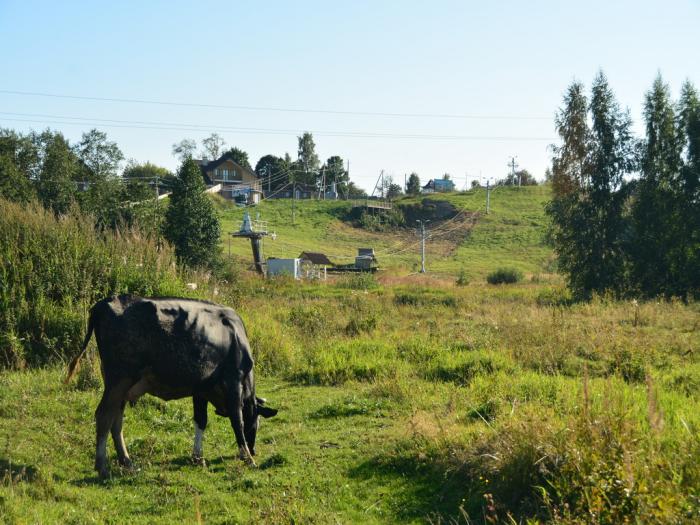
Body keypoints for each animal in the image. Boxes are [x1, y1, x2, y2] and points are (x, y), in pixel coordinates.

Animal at [65, 294, 278, 478]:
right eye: (257, 423)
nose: (254, 450)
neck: (236, 336)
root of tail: (104, 303)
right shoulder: (234, 380)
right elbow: (237, 420)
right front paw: (247, 458)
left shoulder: (201, 389)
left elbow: (201, 420)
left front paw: (198, 458)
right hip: (120, 377)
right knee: (104, 416)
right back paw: (102, 466)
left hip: (121, 384)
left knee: (116, 420)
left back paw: (127, 461)